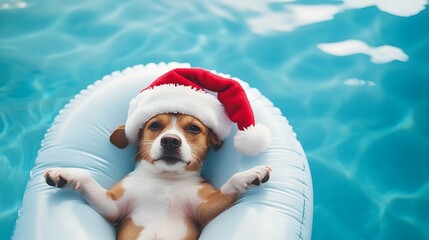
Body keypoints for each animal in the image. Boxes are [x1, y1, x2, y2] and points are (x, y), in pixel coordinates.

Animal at [44, 113, 270, 240]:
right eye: (154, 125)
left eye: (194, 128)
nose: (170, 140)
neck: (166, 180)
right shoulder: (113, 207)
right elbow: (86, 178)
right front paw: (64, 173)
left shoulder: (204, 210)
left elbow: (229, 184)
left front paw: (249, 173)